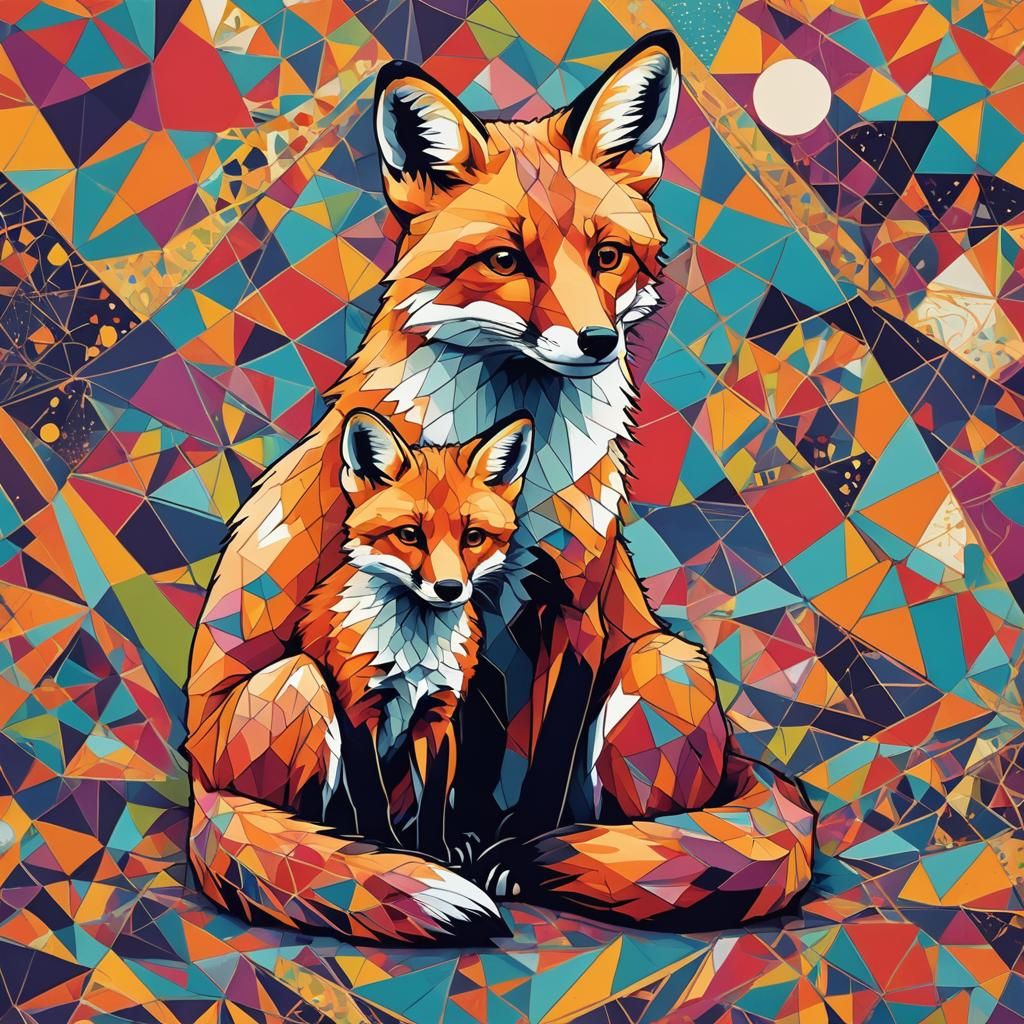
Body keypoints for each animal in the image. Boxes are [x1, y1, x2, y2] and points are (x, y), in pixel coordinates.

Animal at [187, 30, 815, 943]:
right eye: (506, 261)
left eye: (607, 256)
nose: (594, 340)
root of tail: (197, 781)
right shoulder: (439, 642)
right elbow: (456, 772)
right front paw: (434, 852)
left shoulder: (574, 614)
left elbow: (544, 768)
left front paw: (519, 849)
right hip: (296, 685)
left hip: (661, 662)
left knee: (639, 815)